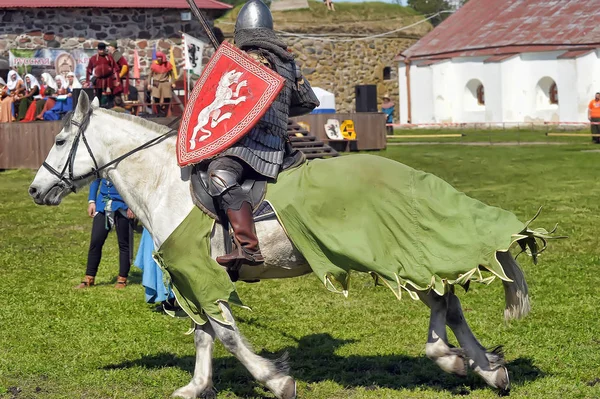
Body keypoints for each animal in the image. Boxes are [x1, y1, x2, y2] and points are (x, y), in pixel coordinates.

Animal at [30, 92, 532, 398]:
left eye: (60, 139)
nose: (37, 190)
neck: (165, 183)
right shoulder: (192, 279)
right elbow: (204, 334)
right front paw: (197, 386)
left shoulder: (201, 274)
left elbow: (227, 335)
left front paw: (274, 380)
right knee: (448, 302)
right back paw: (484, 367)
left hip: (395, 255)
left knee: (443, 301)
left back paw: (454, 359)